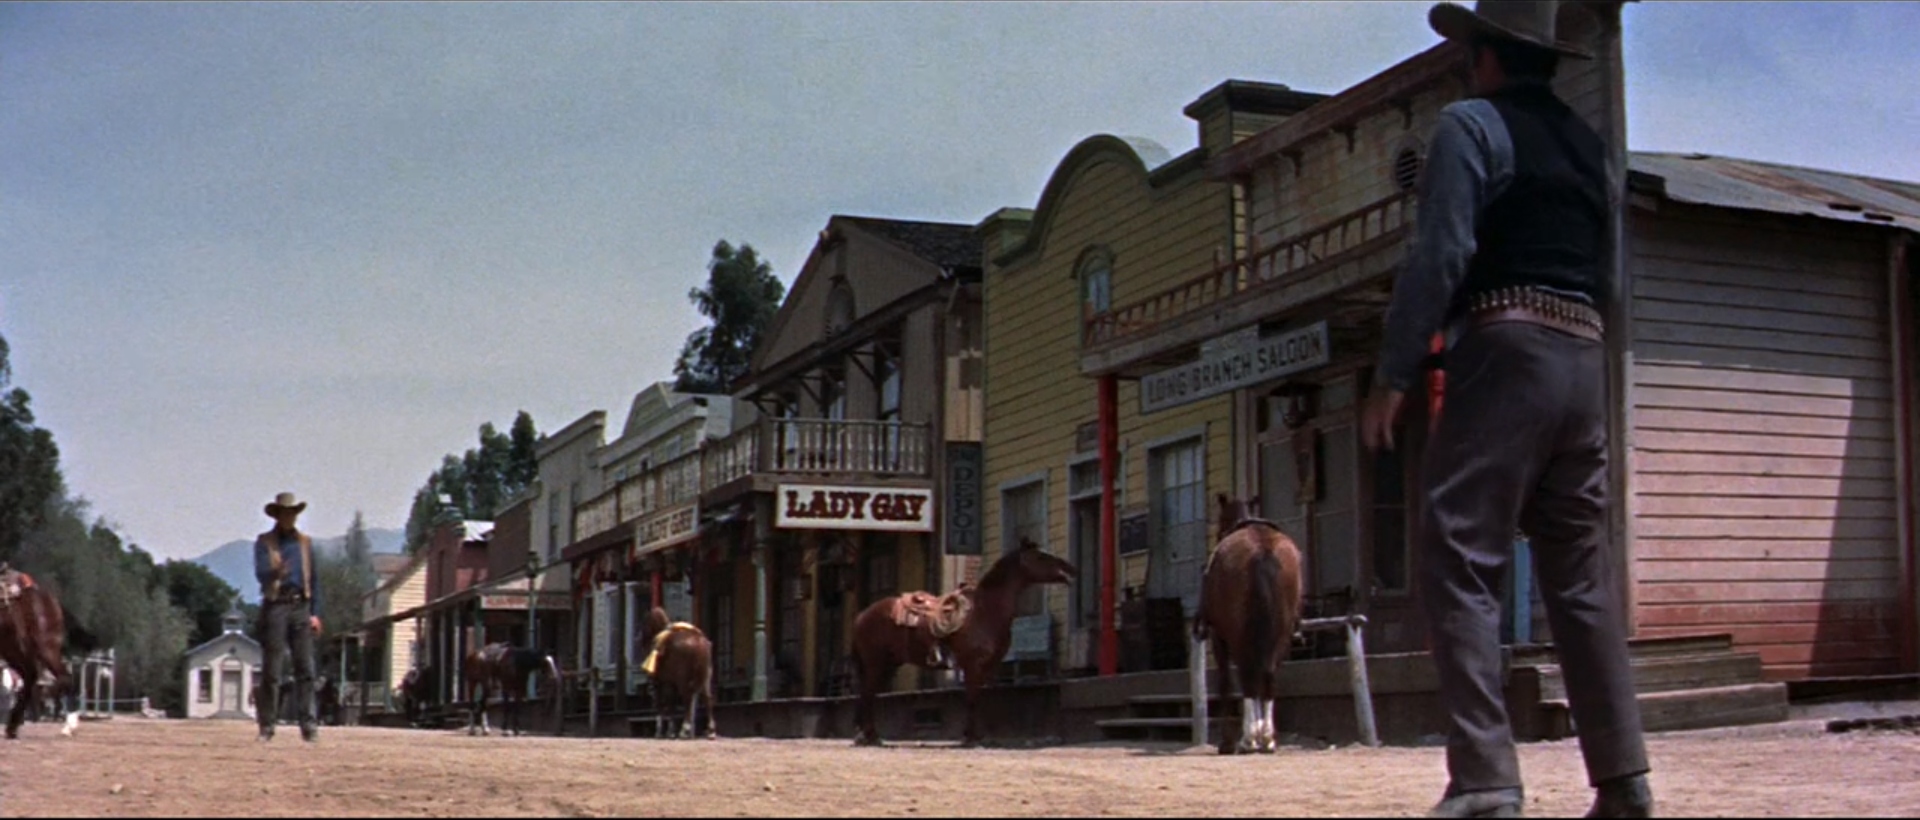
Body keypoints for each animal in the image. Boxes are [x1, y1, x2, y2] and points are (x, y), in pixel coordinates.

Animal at [0, 572, 76, 745]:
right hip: (13, 650)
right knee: (31, 677)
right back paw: (12, 727)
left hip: (46, 649)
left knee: (63, 677)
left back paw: (68, 726)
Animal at [637, 606, 721, 741]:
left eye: (645, 622)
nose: (640, 639)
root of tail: (698, 641)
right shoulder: (671, 683)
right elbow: (672, 704)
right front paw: (670, 731)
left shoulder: (660, 682)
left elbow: (662, 704)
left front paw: (662, 732)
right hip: (705, 678)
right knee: (707, 699)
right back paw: (710, 731)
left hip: (683, 680)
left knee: (687, 699)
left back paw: (684, 730)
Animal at [848, 537, 1075, 752]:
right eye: (1040, 556)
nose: (1070, 569)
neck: (984, 611)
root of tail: (861, 616)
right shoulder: (972, 665)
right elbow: (972, 699)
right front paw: (971, 738)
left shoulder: (986, 667)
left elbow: (977, 698)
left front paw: (974, 735)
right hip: (875, 664)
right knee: (867, 694)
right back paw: (870, 737)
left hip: (888, 665)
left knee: (869, 695)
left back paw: (870, 736)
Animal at [1198, 495, 1305, 756]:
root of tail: (1263, 549)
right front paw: (1259, 733)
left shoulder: (1219, 638)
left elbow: (1227, 682)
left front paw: (1231, 741)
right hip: (1280, 633)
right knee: (1267, 676)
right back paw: (1267, 738)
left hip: (1238, 636)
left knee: (1247, 678)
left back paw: (1246, 740)